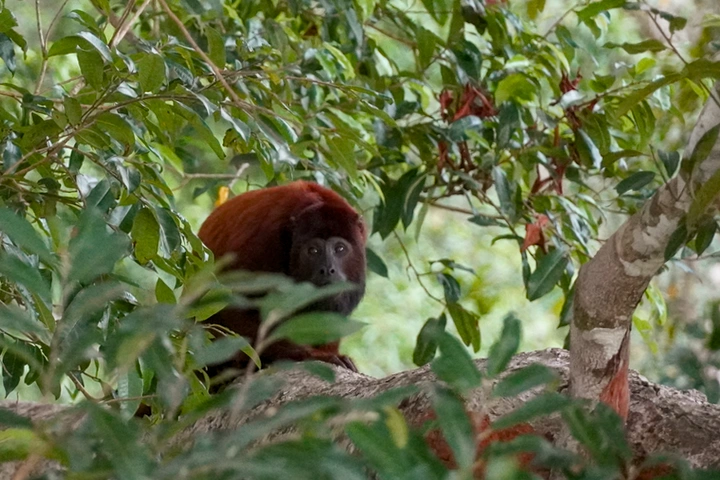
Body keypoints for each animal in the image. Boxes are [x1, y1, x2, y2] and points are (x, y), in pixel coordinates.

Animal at [198, 180, 367, 374]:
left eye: (340, 248)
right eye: (313, 250)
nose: (327, 269)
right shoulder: (263, 241)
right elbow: (234, 307)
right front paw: (315, 356)